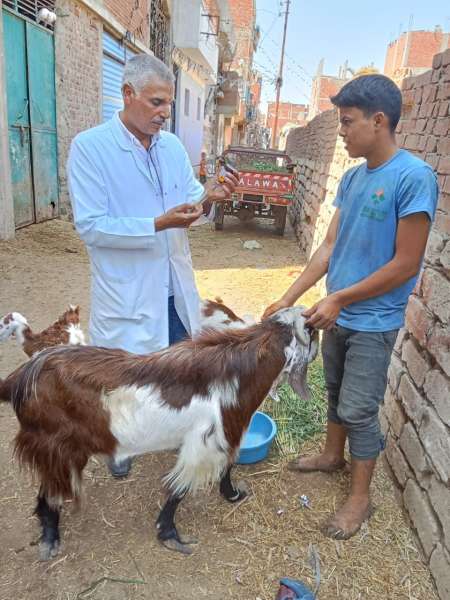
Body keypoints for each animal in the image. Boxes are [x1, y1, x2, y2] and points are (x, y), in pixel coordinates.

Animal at [0, 308, 318, 560]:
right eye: (312, 330)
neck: (237, 375)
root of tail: (21, 378)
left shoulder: (223, 434)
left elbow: (226, 466)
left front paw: (231, 495)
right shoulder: (210, 439)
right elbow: (181, 488)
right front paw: (170, 533)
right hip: (55, 443)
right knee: (50, 486)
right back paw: (50, 537)